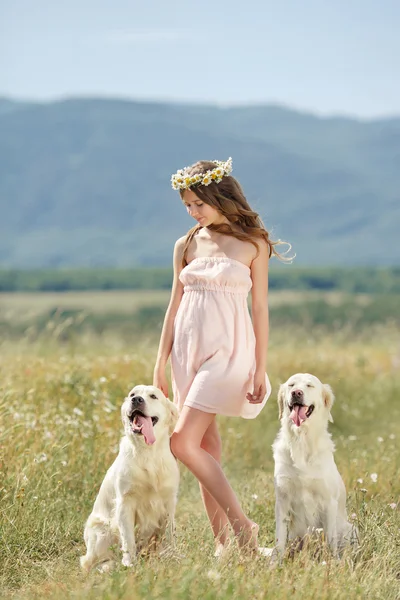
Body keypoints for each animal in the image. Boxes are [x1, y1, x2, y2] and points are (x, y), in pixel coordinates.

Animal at [80, 384, 180, 572]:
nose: (136, 400)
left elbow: (170, 533)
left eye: (153, 396)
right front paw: (129, 563)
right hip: (101, 529)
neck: (148, 453)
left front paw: (173, 556)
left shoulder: (169, 502)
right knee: (89, 562)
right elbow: (128, 539)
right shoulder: (126, 502)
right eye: (132, 394)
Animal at [272, 376, 356, 556]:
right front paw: (274, 562)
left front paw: (332, 561)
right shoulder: (282, 501)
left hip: (351, 529)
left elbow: (331, 540)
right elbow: (279, 542)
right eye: (291, 385)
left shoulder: (328, 502)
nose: (296, 393)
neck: (301, 440)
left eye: (309, 385)